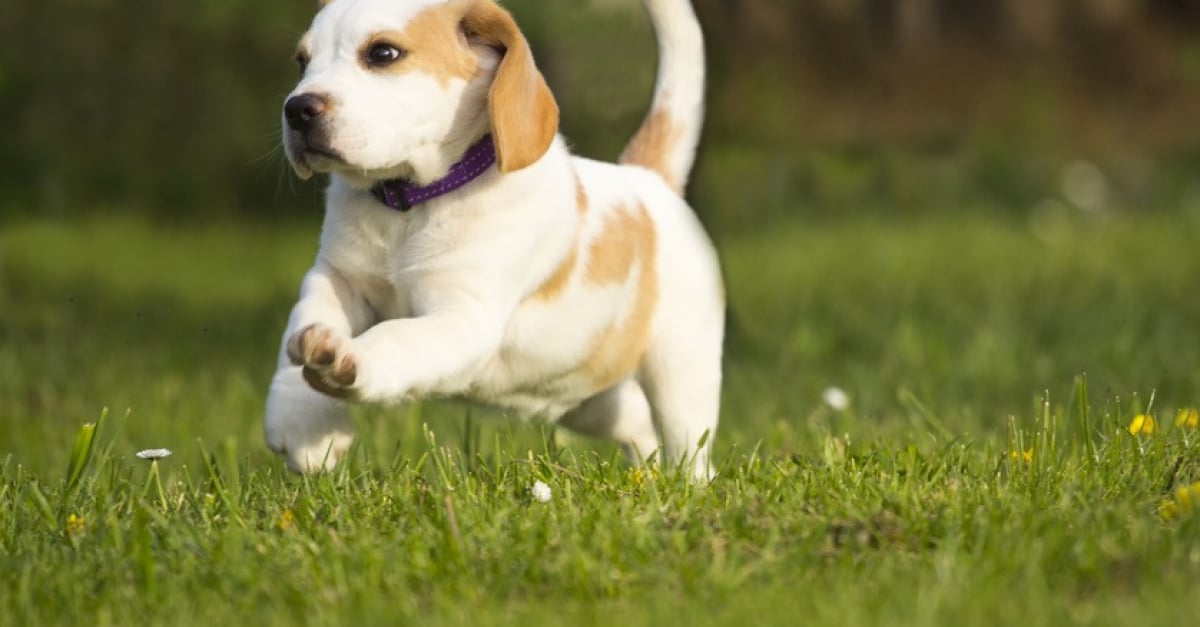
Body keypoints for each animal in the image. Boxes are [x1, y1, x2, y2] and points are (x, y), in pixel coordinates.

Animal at [264, 0, 720, 478]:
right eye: (302, 62)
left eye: (383, 53)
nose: (297, 109)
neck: (410, 204)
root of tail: (649, 178)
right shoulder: (336, 279)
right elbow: (302, 325)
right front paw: (302, 423)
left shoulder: (465, 317)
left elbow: (399, 337)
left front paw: (352, 362)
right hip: (586, 393)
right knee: (636, 423)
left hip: (680, 370)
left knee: (688, 444)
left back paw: (686, 485)